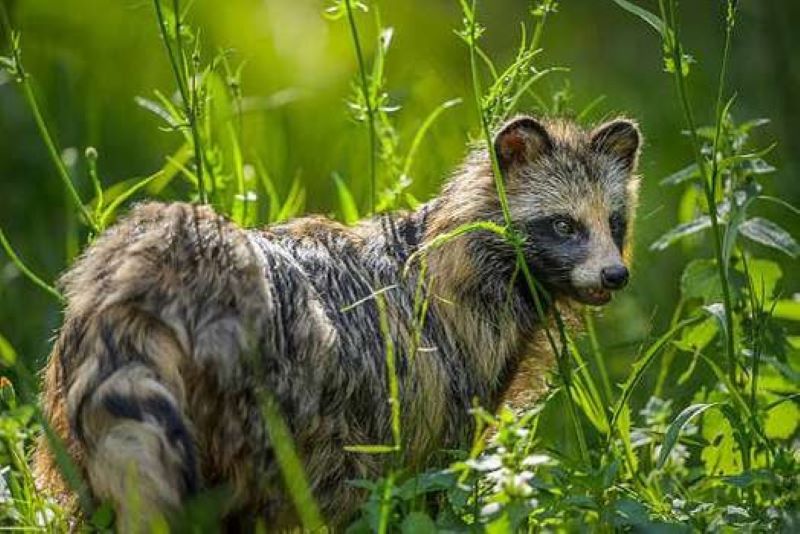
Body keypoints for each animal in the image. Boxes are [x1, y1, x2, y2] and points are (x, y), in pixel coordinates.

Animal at [34, 115, 640, 528]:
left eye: (614, 221)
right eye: (563, 225)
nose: (616, 275)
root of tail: (162, 261)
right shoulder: (438, 378)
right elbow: (428, 486)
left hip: (83, 403)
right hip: (269, 403)